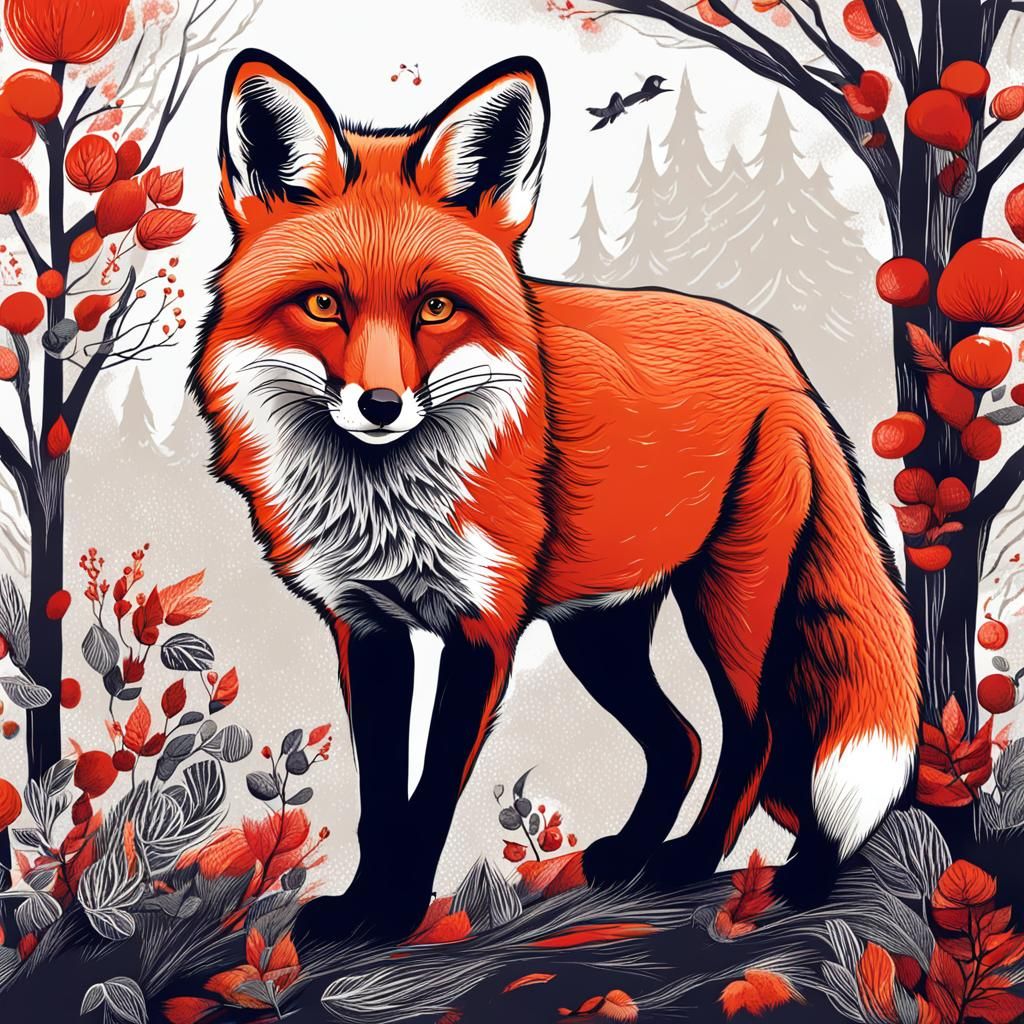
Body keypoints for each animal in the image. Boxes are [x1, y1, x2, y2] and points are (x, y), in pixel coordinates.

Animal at [193, 50, 921, 944]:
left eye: (436, 307)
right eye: (324, 303)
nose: (381, 405)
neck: (385, 504)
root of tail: (782, 358)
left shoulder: (483, 630)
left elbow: (430, 801)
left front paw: (396, 915)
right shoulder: (367, 629)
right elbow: (381, 800)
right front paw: (362, 909)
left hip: (730, 603)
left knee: (756, 734)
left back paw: (725, 865)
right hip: (601, 631)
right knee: (680, 740)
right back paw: (635, 857)